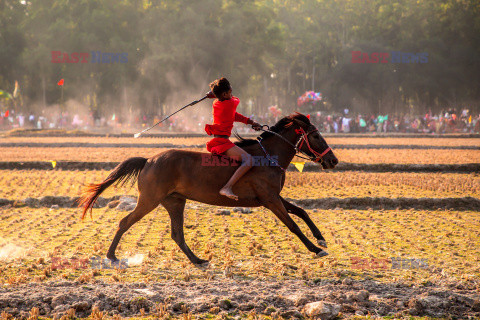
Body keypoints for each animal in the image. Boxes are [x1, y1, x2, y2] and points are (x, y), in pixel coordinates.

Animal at [79, 112, 340, 264]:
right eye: (316, 136)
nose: (333, 160)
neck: (268, 156)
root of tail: (149, 160)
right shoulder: (270, 199)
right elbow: (293, 224)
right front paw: (315, 248)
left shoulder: (273, 196)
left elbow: (301, 212)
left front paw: (321, 239)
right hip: (149, 200)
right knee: (125, 222)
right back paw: (111, 255)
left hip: (175, 201)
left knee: (177, 234)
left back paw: (198, 260)